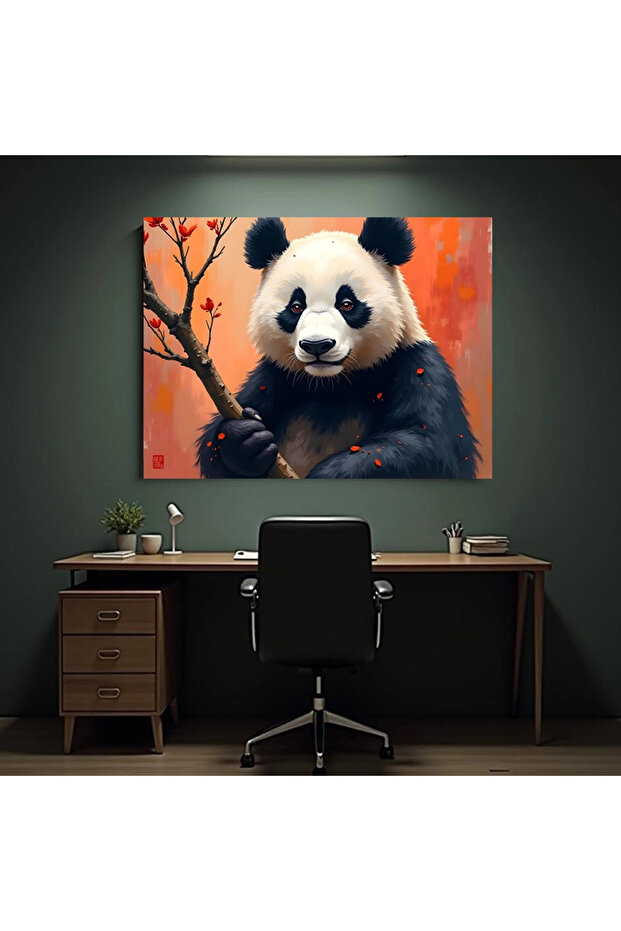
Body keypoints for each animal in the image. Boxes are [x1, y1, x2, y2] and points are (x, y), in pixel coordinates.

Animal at [196, 217, 479, 479]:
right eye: (296, 307)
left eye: (346, 304)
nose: (317, 345)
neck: (334, 383)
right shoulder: (277, 375)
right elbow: (219, 441)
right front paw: (245, 440)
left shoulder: (416, 366)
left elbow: (430, 445)